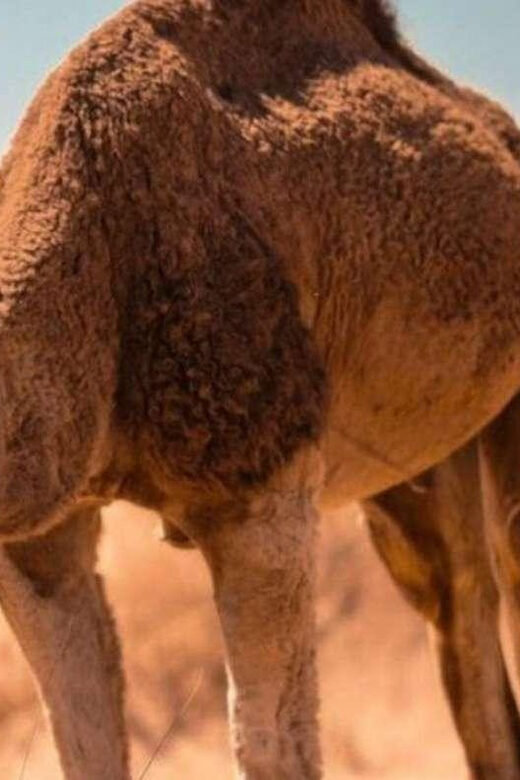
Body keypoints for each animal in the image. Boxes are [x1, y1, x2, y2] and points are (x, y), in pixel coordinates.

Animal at [1, 0, 520, 777]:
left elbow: (272, 740)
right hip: (416, 453)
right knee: (458, 599)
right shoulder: (41, 537)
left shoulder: (261, 487)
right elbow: (83, 739)